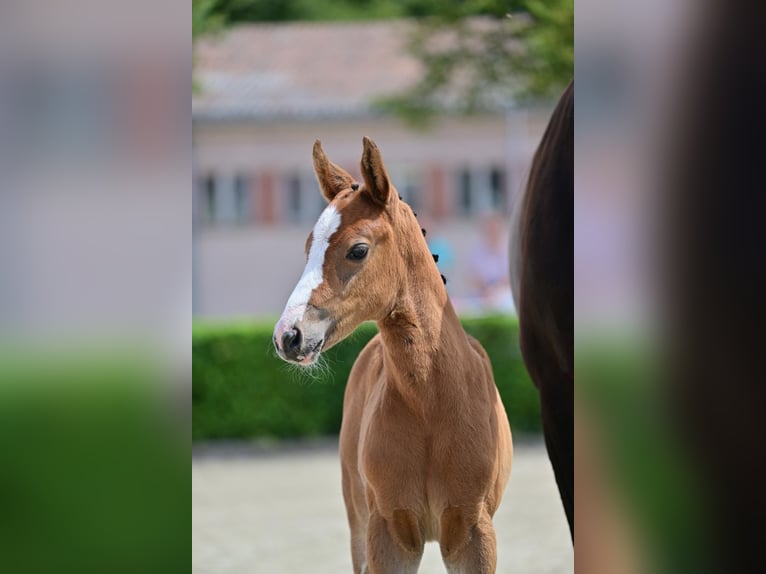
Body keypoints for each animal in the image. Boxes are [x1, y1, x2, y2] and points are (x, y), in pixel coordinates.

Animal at [272, 137, 512, 572]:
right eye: (308, 247)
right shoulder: (389, 531)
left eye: (358, 250)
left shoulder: (474, 532)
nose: (288, 336)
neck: (432, 402)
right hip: (357, 519)